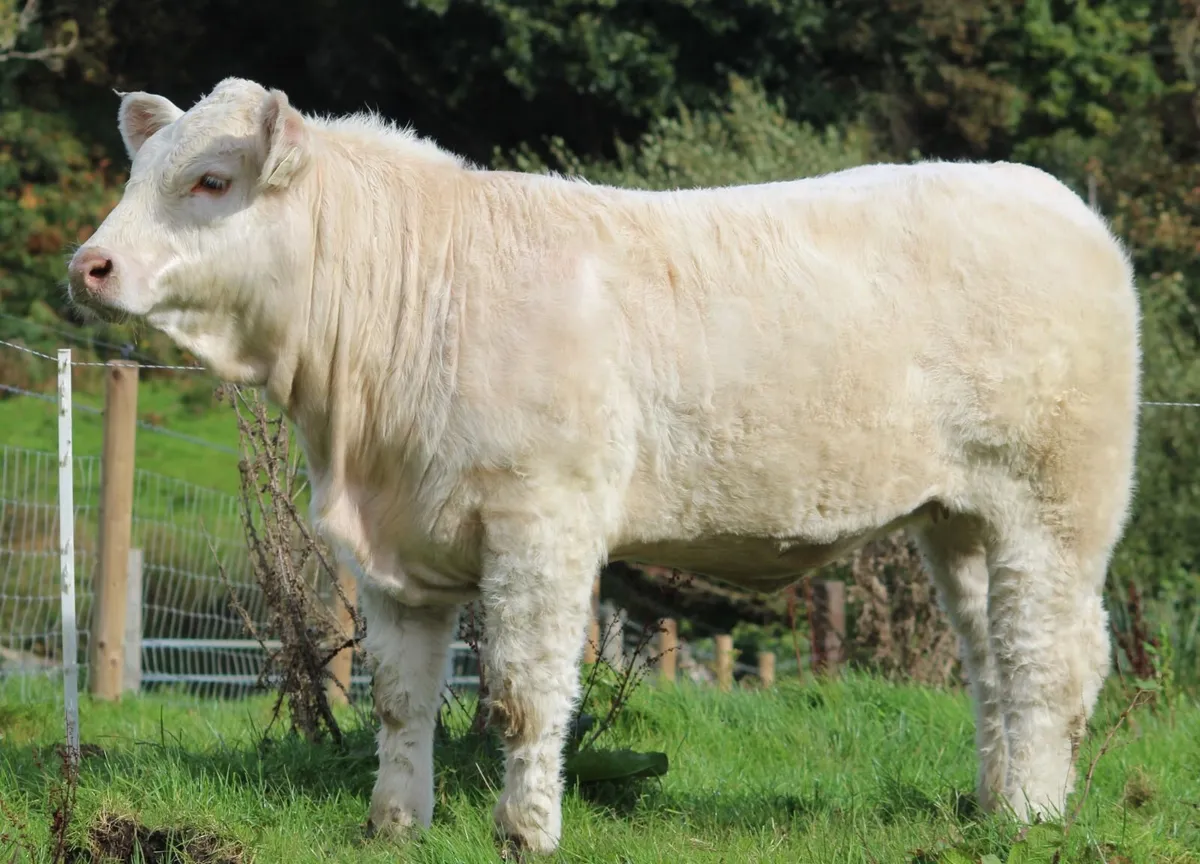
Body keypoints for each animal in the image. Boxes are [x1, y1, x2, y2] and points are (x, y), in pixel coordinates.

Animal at [66, 77, 1141, 857]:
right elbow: (401, 697)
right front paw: (395, 825)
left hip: (1053, 505)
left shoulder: (543, 519)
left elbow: (522, 693)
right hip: (960, 520)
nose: (89, 264)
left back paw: (1034, 815)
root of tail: (1058, 200)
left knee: (1049, 658)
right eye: (136, 173)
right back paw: (994, 802)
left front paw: (526, 832)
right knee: (992, 658)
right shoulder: (393, 549)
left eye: (212, 180)